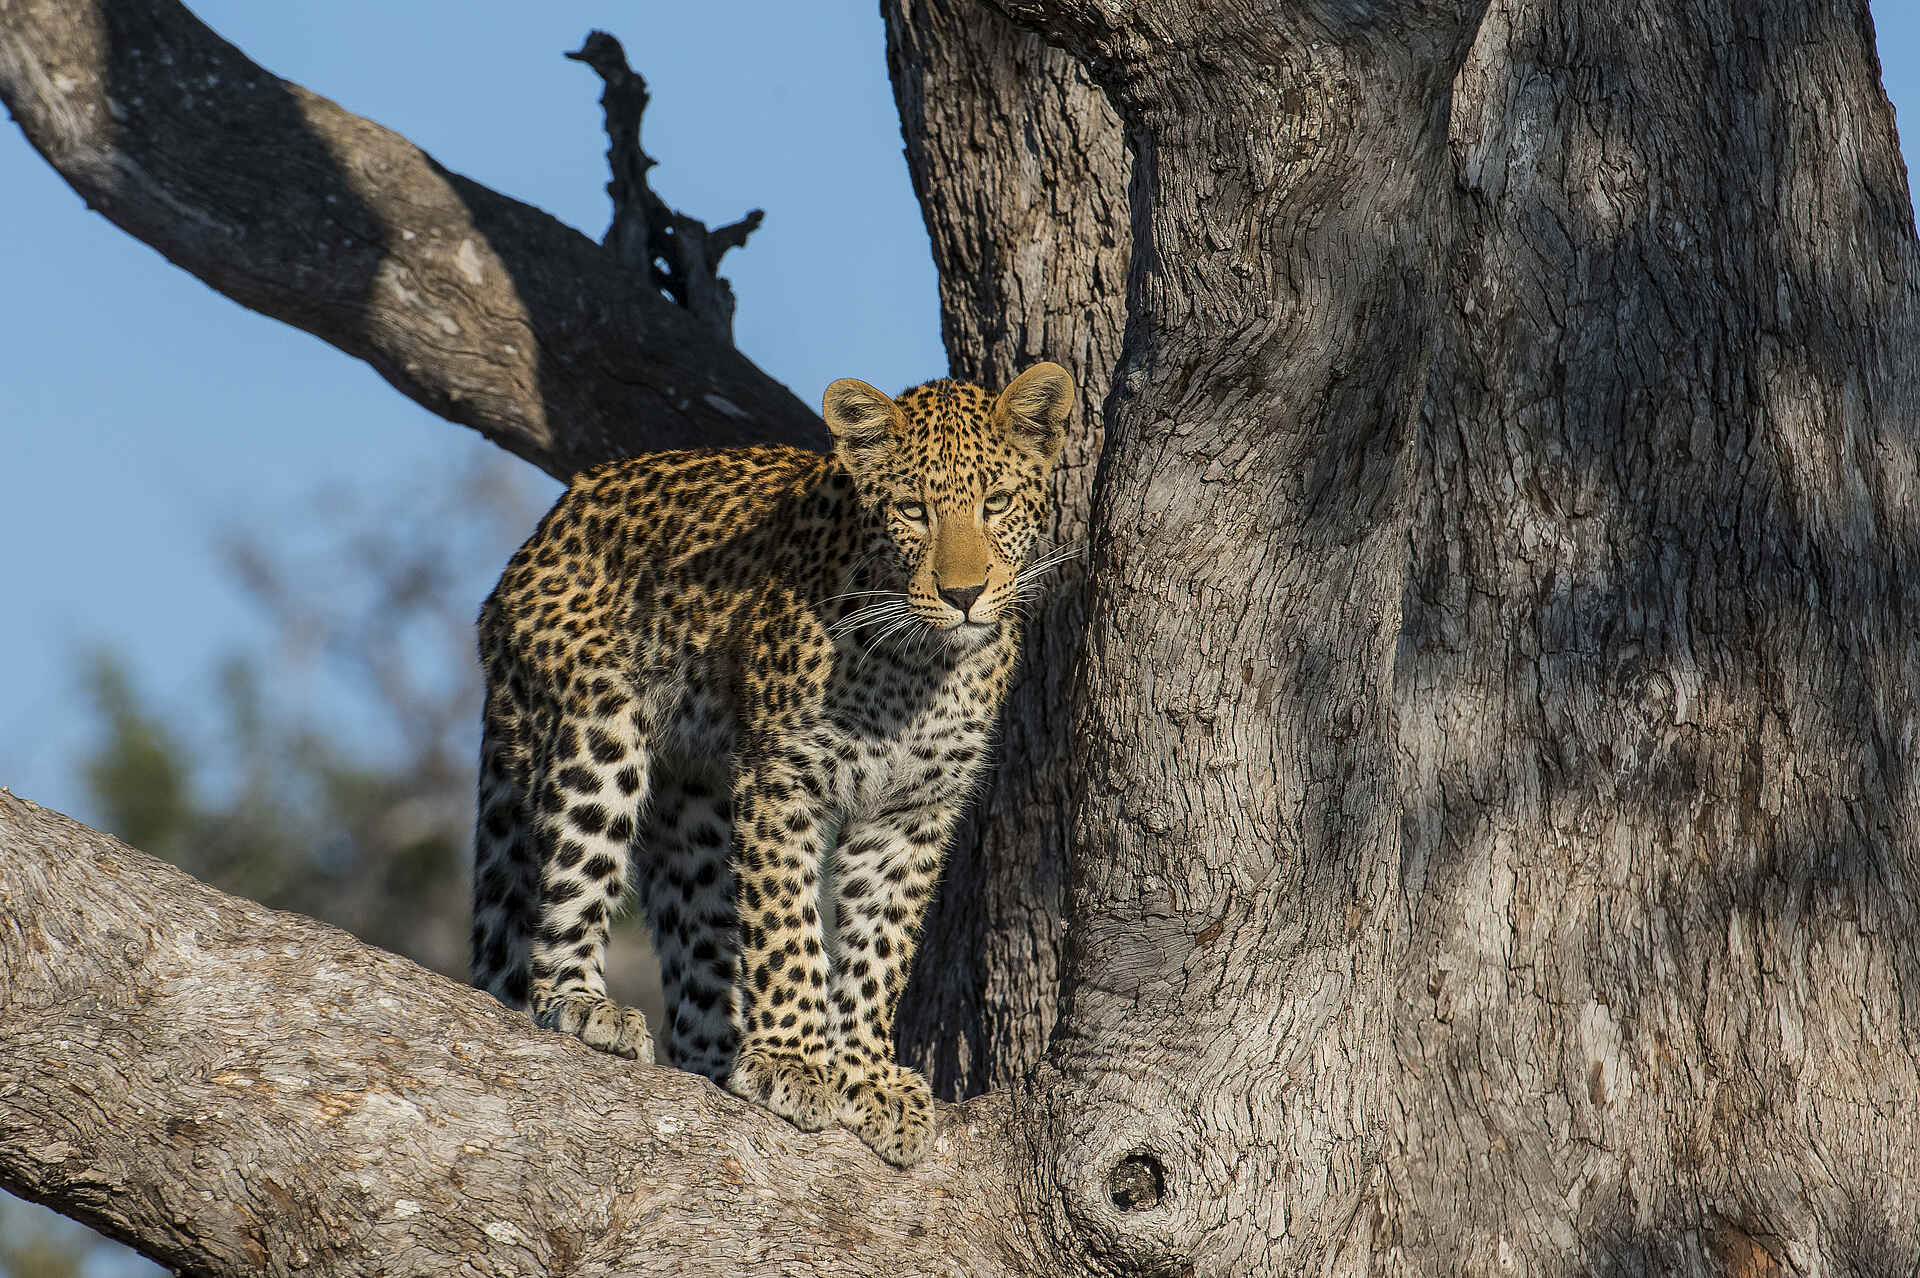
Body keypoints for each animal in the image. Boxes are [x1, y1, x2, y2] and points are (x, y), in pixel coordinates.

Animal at [468, 362, 1076, 1166]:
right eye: (913, 511)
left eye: (996, 502)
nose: (965, 594)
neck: (921, 665)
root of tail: (536, 540)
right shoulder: (784, 781)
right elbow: (788, 928)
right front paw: (795, 1061)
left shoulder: (911, 812)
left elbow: (879, 947)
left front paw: (866, 1075)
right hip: (595, 731)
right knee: (570, 882)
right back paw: (583, 1006)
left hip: (694, 802)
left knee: (698, 937)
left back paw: (717, 1055)